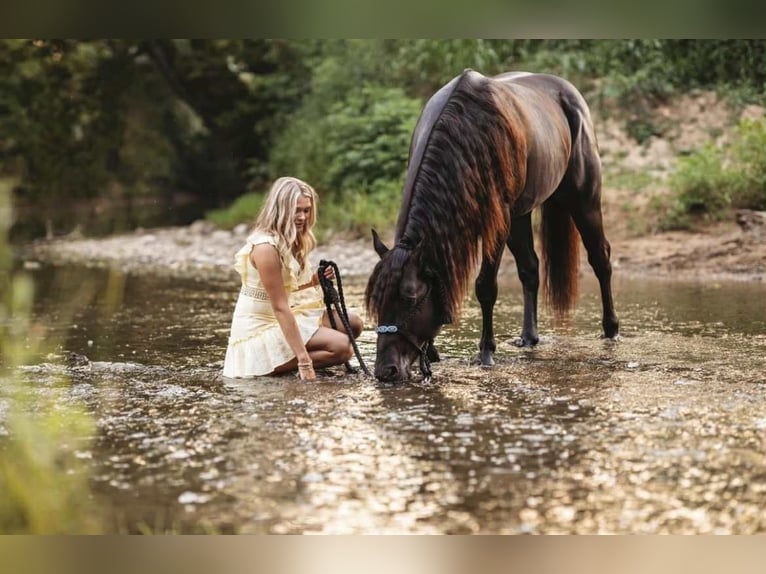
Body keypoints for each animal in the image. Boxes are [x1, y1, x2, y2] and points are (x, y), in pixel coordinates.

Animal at [364, 69, 620, 383]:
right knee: (530, 268)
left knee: (600, 258)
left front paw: (486, 352)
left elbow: (485, 287)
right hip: (521, 214)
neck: (465, 133)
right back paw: (529, 336)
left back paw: (611, 328)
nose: (386, 371)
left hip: (583, 200)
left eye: (410, 299)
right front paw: (432, 352)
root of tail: (568, 91)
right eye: (376, 301)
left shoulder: (496, 223)